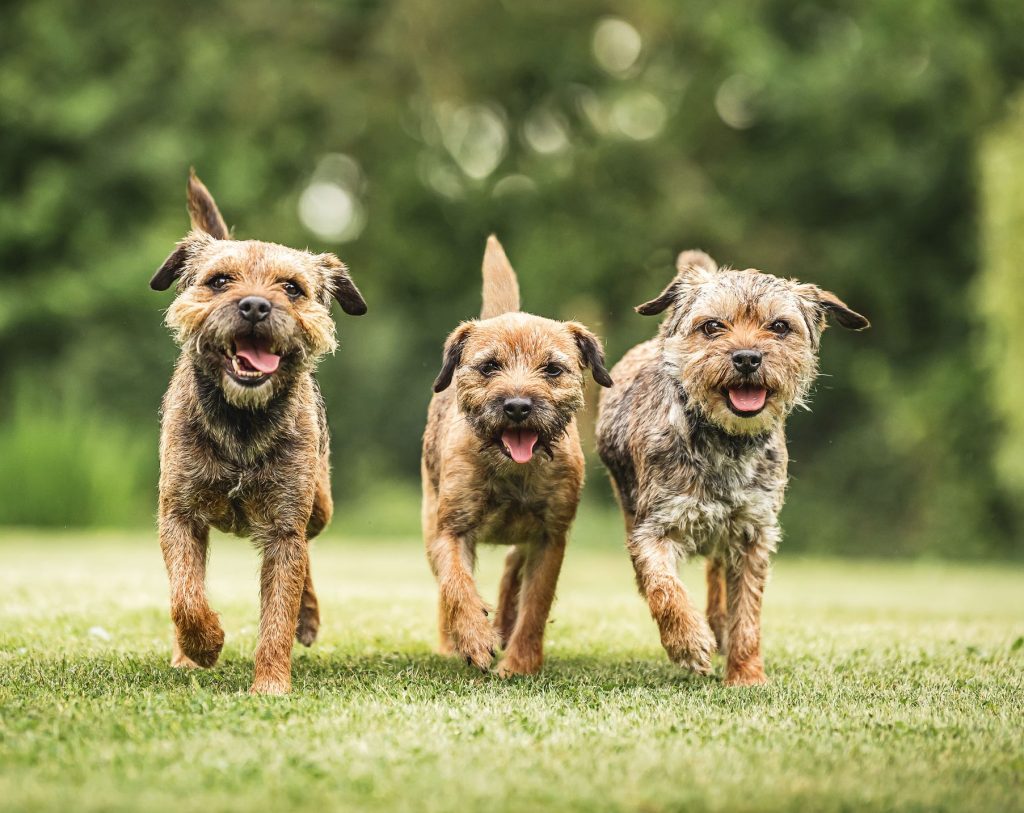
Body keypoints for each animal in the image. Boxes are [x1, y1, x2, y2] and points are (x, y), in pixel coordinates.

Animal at [148, 169, 364, 692]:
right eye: (219, 281)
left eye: (292, 288)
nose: (254, 306)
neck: (242, 425)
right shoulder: (178, 515)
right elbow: (185, 596)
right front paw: (203, 646)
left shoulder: (285, 527)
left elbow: (278, 614)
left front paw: (269, 686)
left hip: (319, 506)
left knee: (307, 557)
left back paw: (308, 617)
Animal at [421, 237, 610, 675]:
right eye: (489, 366)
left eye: (552, 369)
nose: (518, 406)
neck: (512, 472)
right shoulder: (450, 530)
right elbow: (456, 584)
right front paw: (474, 638)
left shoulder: (549, 538)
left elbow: (536, 603)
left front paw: (520, 662)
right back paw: (453, 640)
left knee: (511, 571)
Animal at [598, 248, 868, 683]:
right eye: (712, 326)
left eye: (779, 326)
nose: (747, 357)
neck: (725, 442)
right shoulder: (654, 527)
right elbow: (663, 586)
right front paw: (688, 641)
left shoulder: (753, 533)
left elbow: (747, 612)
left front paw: (746, 675)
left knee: (717, 573)